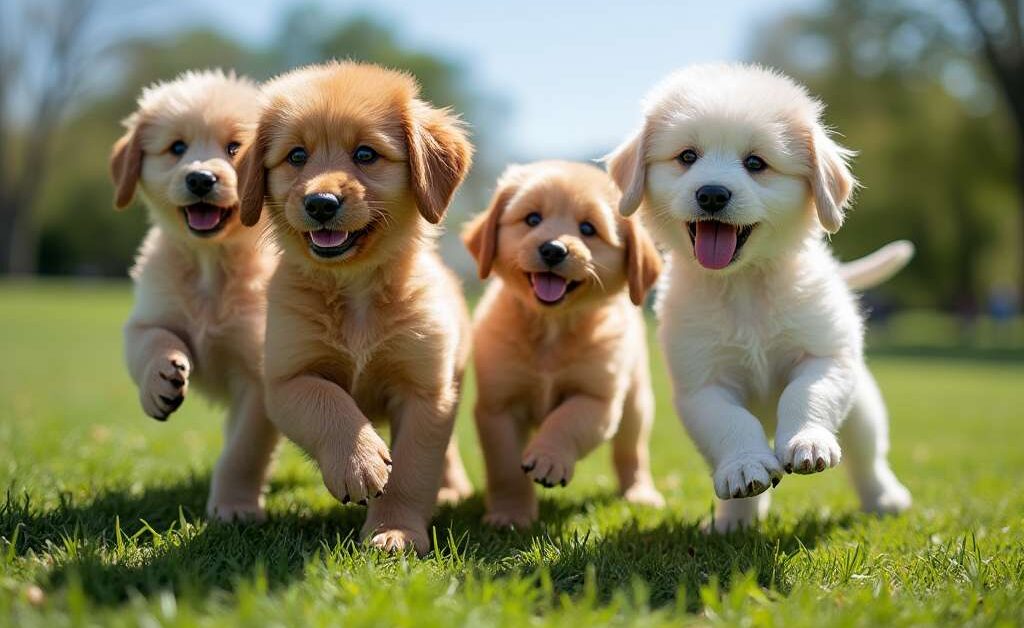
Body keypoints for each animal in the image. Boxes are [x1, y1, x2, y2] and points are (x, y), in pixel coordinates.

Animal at [109, 69, 280, 518]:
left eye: (235, 147)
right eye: (177, 148)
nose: (201, 178)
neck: (210, 265)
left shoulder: (260, 376)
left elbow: (244, 451)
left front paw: (235, 507)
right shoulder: (150, 315)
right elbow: (153, 340)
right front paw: (160, 379)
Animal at [239, 59, 475, 553]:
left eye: (366, 155)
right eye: (296, 156)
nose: (320, 203)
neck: (356, 290)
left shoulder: (426, 390)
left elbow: (413, 468)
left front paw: (396, 530)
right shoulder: (288, 377)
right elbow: (326, 402)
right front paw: (359, 461)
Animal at [462, 160, 663, 524]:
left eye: (588, 229)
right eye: (532, 219)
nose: (553, 249)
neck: (551, 328)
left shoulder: (597, 398)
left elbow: (565, 422)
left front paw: (548, 457)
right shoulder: (497, 407)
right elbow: (505, 468)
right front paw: (511, 513)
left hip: (637, 403)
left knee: (631, 451)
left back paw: (641, 493)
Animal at [606, 63, 913, 532]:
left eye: (756, 163)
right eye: (687, 157)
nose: (712, 194)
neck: (744, 286)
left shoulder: (825, 359)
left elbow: (805, 394)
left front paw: (808, 442)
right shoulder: (703, 386)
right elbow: (733, 424)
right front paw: (744, 468)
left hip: (863, 406)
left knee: (867, 457)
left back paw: (885, 497)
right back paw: (734, 518)